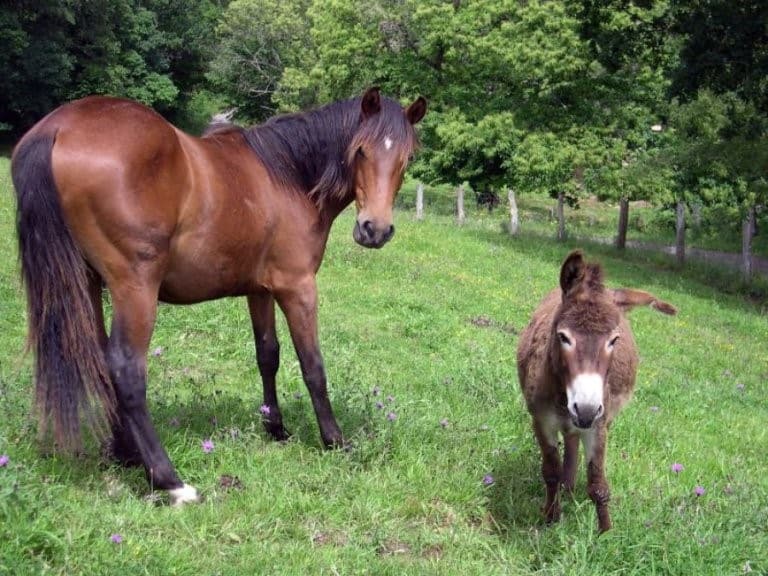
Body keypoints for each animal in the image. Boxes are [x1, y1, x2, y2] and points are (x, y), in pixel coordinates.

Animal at [12, 86, 426, 504]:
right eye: (361, 151)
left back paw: (126, 454)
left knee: (98, 361)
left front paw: (275, 428)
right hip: (135, 287)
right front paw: (335, 441)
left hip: (89, 282)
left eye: (406, 158)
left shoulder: (261, 290)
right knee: (125, 369)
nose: (375, 229)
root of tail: (57, 128)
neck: (287, 178)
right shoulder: (298, 287)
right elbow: (313, 367)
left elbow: (268, 356)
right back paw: (169, 481)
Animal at [520, 252, 676, 532]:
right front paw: (551, 517)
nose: (586, 410)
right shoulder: (541, 419)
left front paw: (606, 534)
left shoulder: (599, 424)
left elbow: (598, 485)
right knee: (570, 443)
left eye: (614, 340)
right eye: (563, 337)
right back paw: (567, 486)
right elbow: (550, 471)